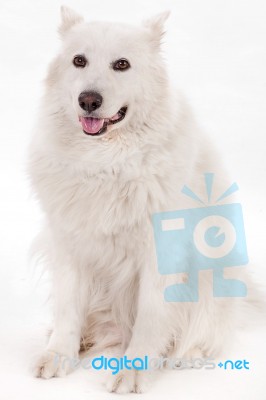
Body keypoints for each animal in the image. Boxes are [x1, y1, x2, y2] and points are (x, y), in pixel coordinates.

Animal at [28, 7, 254, 394]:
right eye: (79, 60)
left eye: (122, 64)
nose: (89, 100)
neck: (105, 163)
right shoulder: (68, 244)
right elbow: (68, 307)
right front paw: (60, 353)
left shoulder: (159, 257)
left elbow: (151, 318)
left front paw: (134, 371)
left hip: (214, 277)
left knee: (207, 332)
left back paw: (188, 354)